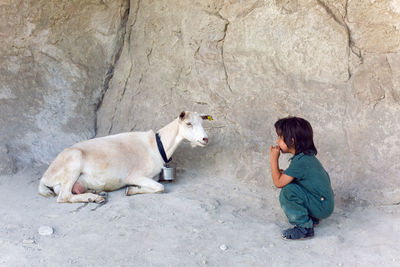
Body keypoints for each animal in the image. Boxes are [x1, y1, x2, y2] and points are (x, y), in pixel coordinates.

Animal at [38, 111, 211, 203]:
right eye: (188, 123)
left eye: (202, 123)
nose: (205, 139)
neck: (155, 145)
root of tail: (45, 177)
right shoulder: (134, 175)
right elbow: (160, 187)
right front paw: (131, 190)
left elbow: (157, 186)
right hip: (73, 163)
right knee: (64, 196)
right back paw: (94, 198)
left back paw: (97, 193)